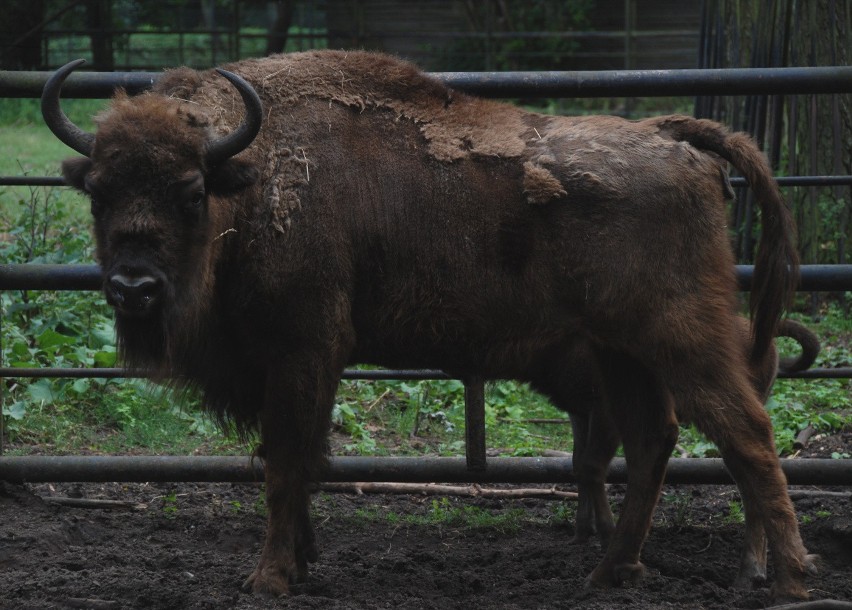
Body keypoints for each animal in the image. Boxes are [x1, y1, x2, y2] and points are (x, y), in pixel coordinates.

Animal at [43, 48, 816, 600]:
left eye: (190, 191)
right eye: (99, 192)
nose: (134, 287)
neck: (252, 177)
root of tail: (671, 137)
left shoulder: (301, 352)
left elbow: (287, 463)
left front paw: (267, 578)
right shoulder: (290, 367)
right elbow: (299, 460)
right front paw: (302, 560)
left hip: (681, 336)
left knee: (747, 434)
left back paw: (787, 579)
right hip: (618, 348)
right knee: (654, 438)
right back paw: (611, 572)